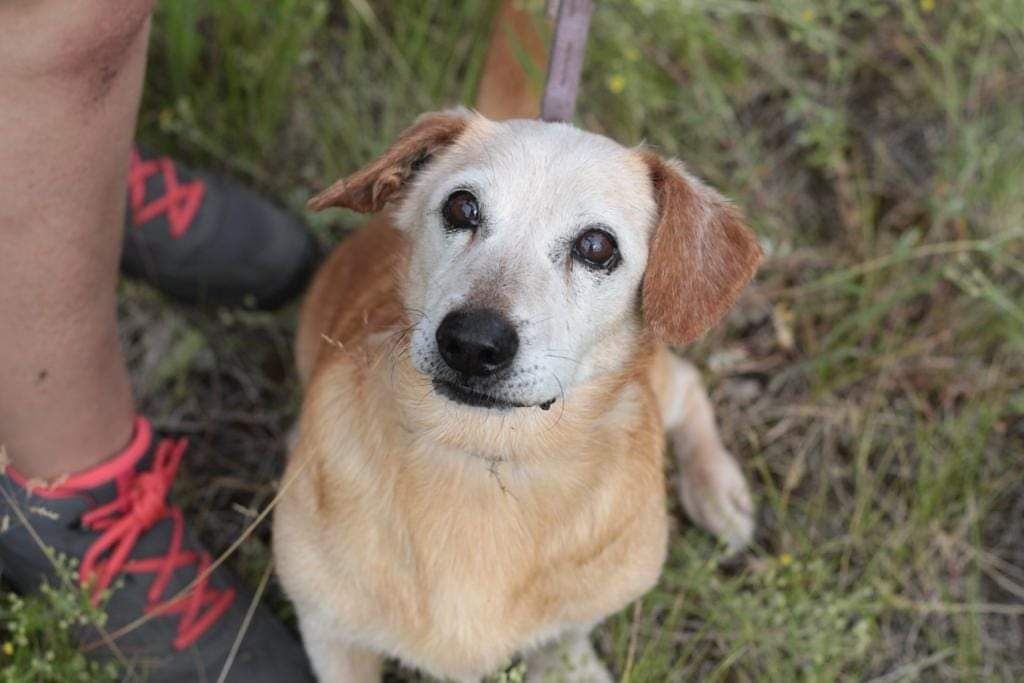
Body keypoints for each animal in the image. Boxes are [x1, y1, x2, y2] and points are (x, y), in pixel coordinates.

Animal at [272, 9, 761, 683]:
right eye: (461, 207)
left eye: (597, 246)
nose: (472, 343)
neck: (486, 456)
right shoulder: (330, 633)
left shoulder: (583, 613)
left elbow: (566, 641)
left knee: (687, 384)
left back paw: (716, 489)